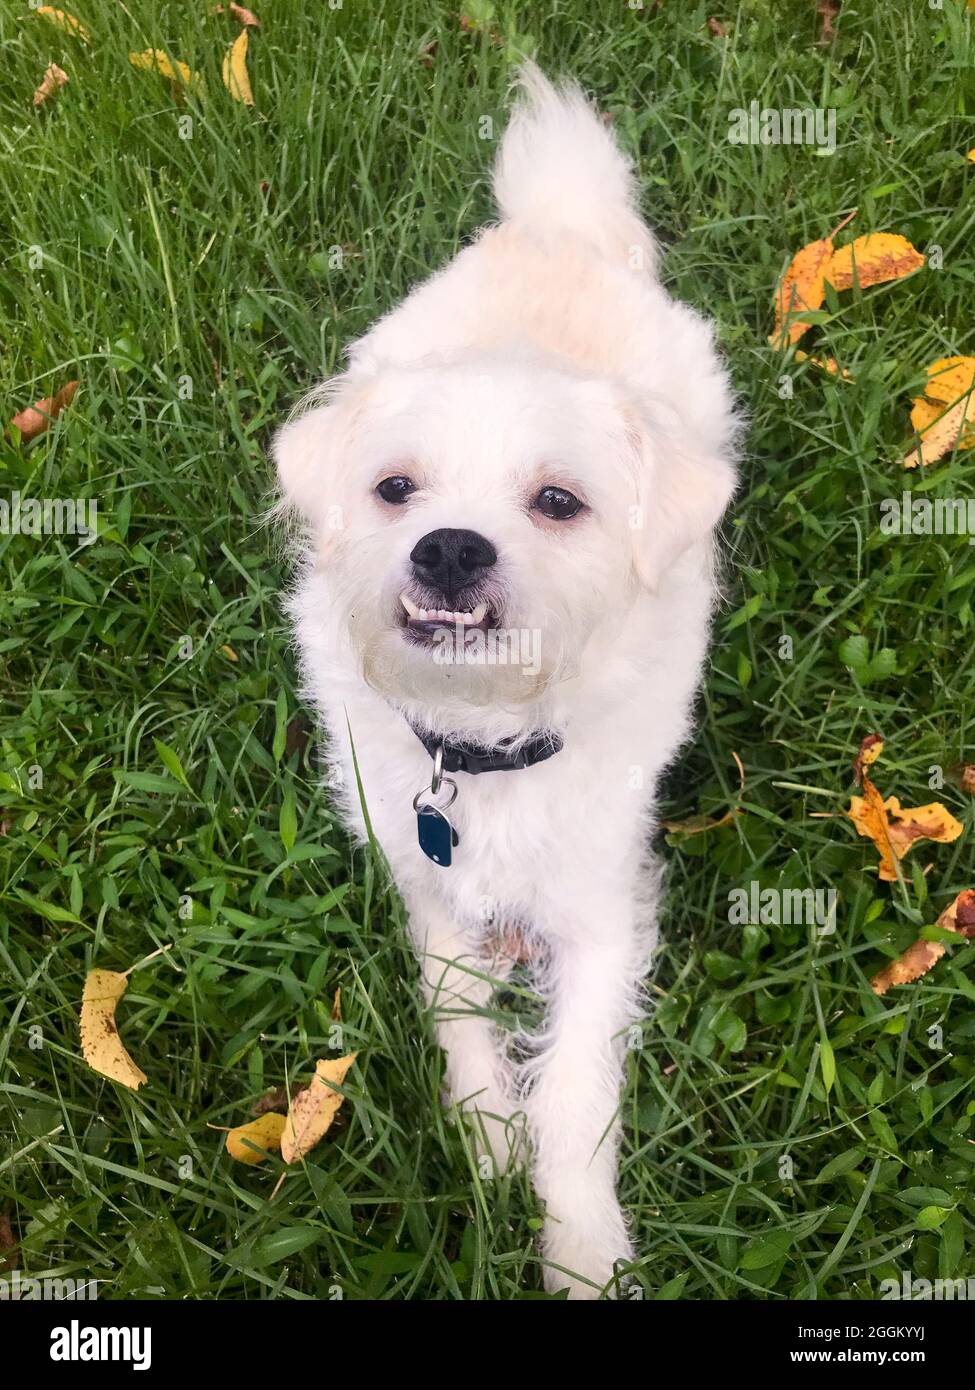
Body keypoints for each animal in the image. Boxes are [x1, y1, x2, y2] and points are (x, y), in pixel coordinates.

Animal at [269, 67, 734, 1301]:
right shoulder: (426, 891)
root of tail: (552, 229)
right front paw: (484, 1142)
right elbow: (459, 1014)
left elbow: (575, 1087)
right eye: (395, 488)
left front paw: (579, 1246)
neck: (479, 746)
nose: (448, 549)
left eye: (559, 502)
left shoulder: (605, 915)